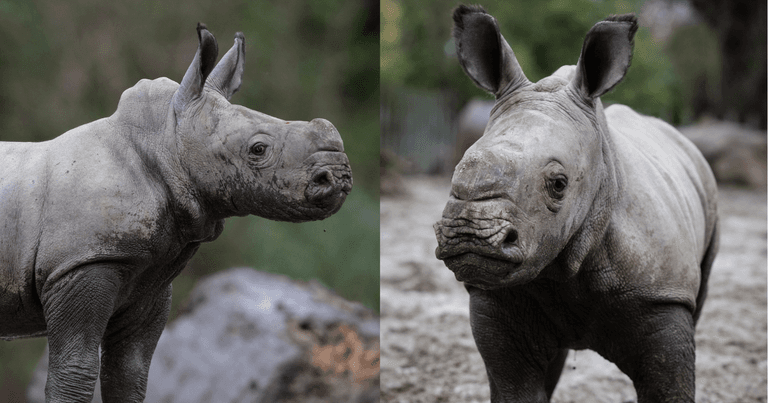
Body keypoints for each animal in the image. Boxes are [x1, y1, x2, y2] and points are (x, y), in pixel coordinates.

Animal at [0, 23, 352, 402]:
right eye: (258, 150)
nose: (339, 176)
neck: (165, 143)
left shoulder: (148, 276)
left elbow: (129, 374)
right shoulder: (83, 260)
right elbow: (75, 372)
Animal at [434, 6, 718, 402]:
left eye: (558, 184)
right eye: (459, 168)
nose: (469, 235)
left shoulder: (663, 295)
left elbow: (669, 383)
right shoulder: (497, 299)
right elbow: (515, 386)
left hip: (708, 190)